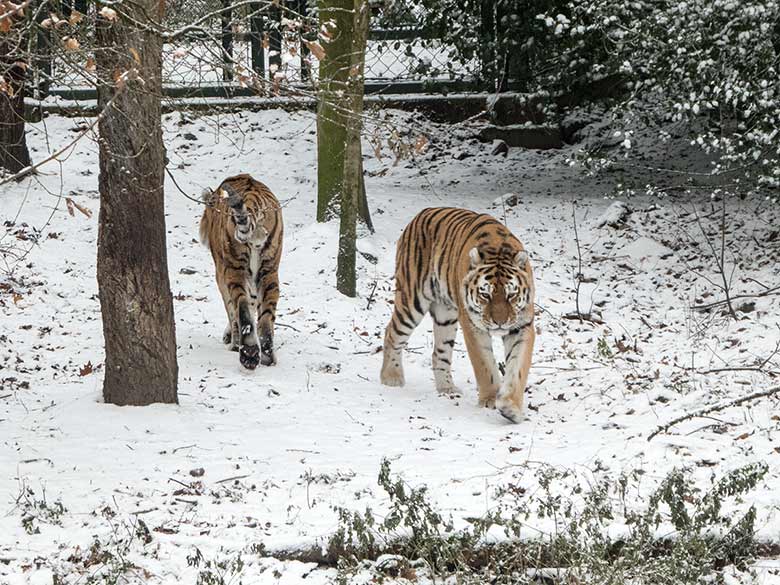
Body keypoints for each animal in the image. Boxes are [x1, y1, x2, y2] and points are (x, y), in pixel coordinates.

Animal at [200, 173, 284, 370]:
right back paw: (266, 355)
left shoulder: (221, 273)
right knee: (266, 316)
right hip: (270, 271)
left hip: (234, 269)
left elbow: (231, 310)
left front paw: (232, 340)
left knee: (241, 304)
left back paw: (248, 352)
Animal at [380, 208, 536, 422]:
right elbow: (485, 365)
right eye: (485, 295)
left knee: (439, 352)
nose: (500, 322)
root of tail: (422, 212)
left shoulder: (522, 326)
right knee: (392, 332)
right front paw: (490, 399)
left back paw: (447, 388)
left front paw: (511, 407)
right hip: (411, 300)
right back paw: (391, 377)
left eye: (511, 295)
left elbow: (517, 369)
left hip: (445, 316)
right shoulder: (473, 326)